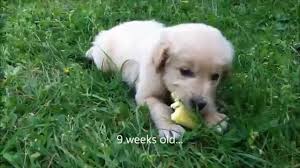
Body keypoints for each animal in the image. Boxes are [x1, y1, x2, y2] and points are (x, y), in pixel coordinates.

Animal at [85, 20, 233, 139]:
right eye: (185, 71)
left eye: (215, 77)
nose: (198, 103)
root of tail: (105, 33)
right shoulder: (146, 95)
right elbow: (161, 109)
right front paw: (170, 128)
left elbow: (210, 99)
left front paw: (213, 117)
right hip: (103, 60)